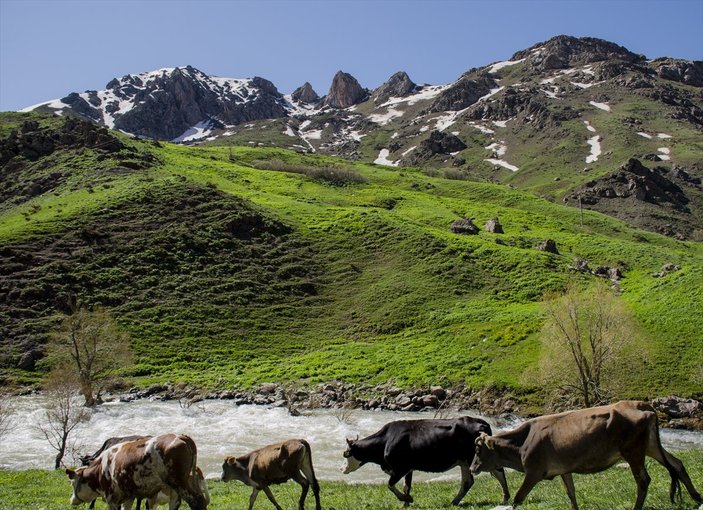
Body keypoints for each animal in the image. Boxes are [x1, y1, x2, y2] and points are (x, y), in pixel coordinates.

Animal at [65, 434, 209, 510]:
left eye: (72, 483)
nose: (72, 501)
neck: (102, 467)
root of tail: (181, 436)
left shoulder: (112, 498)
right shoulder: (129, 496)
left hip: (179, 483)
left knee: (195, 501)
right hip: (177, 489)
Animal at [344, 418, 508, 506]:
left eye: (346, 454)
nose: (342, 469)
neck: (386, 440)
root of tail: (482, 423)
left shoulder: (400, 468)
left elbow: (390, 485)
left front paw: (406, 499)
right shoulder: (408, 468)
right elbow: (406, 486)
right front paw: (406, 503)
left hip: (474, 457)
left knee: (498, 472)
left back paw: (505, 498)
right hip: (464, 462)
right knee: (468, 481)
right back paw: (455, 502)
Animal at [470, 400, 703, 508]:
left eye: (478, 449)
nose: (472, 467)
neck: (523, 442)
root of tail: (641, 404)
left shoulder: (534, 472)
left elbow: (518, 497)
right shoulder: (564, 470)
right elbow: (571, 494)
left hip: (633, 451)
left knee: (643, 480)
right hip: (652, 446)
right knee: (677, 464)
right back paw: (697, 497)